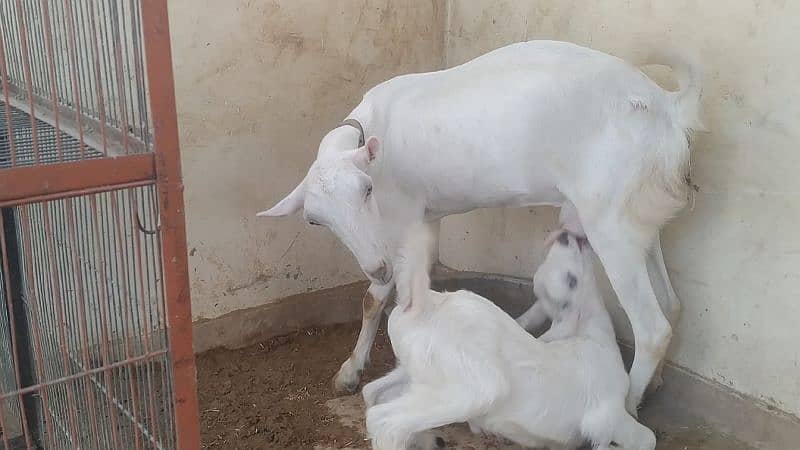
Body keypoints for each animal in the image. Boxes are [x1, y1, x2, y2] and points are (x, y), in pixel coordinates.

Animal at [260, 40, 704, 414]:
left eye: (366, 190)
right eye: (315, 221)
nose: (376, 266)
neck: (375, 134)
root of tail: (668, 106)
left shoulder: (398, 217)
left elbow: (377, 297)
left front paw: (352, 370)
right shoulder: (425, 217)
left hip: (609, 217)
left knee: (652, 328)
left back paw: (626, 405)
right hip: (640, 212)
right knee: (672, 303)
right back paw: (652, 383)